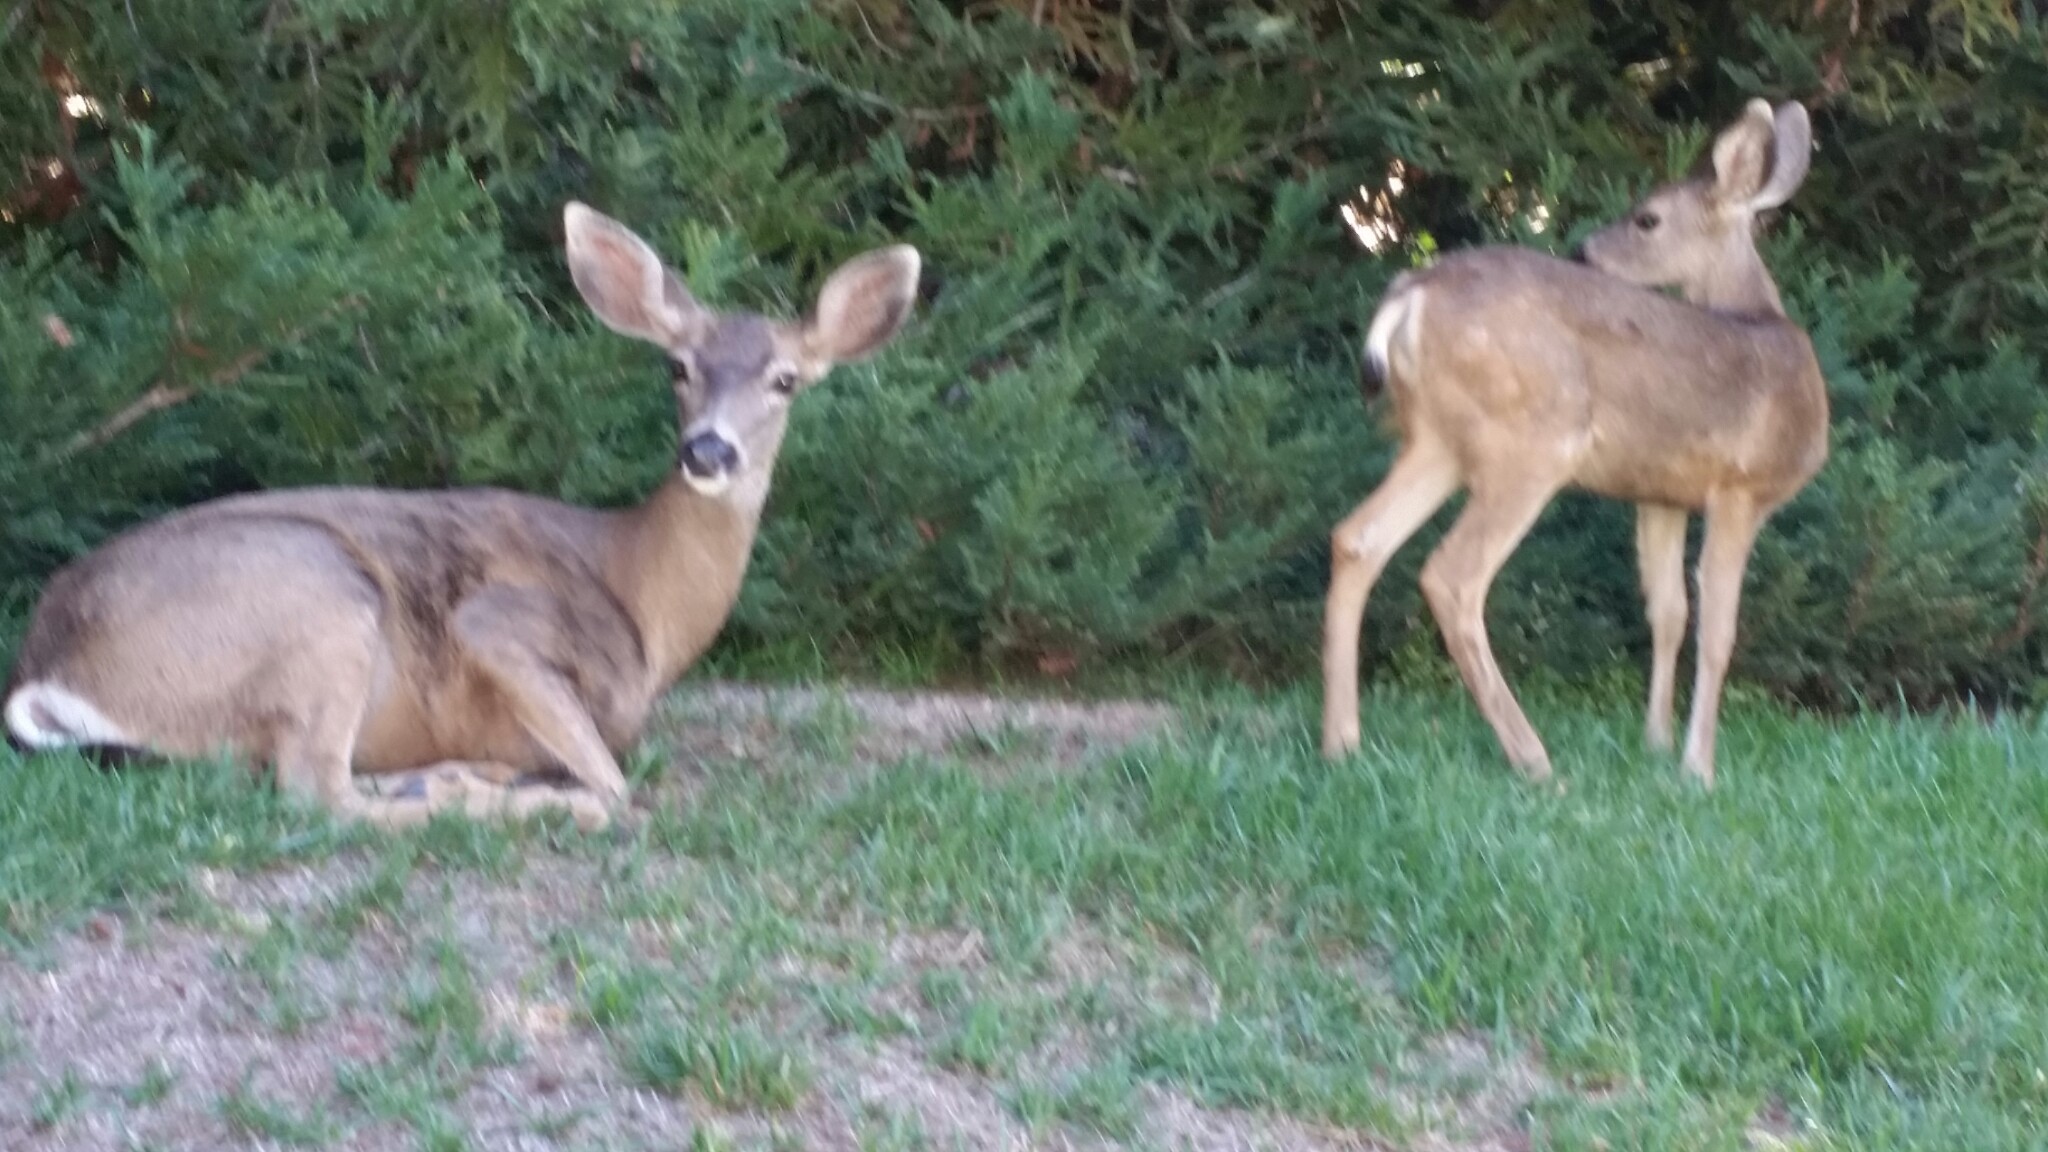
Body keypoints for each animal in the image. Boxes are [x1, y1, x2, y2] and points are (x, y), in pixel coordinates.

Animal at [3, 203, 922, 830]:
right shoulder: (499, 623)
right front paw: (556, 790)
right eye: (677, 367)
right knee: (314, 791)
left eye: (786, 380)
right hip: (322, 602)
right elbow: (617, 782)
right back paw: (489, 792)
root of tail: (45, 667)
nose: (708, 451)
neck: (646, 605)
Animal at [1322, 98, 1829, 786]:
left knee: (1357, 539)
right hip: (1533, 440)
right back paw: (1534, 760)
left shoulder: (1662, 493)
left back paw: (1341, 744)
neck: (1763, 321)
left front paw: (1656, 744)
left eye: (1647, 218)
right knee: (1451, 576)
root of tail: (1410, 297)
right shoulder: (1741, 487)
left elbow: (1668, 613)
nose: (1583, 249)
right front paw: (1698, 768)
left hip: (1438, 441)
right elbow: (1718, 630)